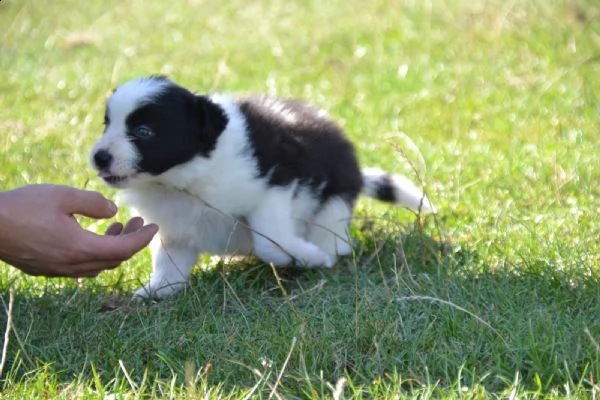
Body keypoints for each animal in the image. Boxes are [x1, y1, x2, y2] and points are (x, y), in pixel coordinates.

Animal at [90, 76, 436, 298]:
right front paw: (159, 290)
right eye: (107, 124)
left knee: (332, 230)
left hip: (335, 195)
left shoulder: (275, 185)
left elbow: (271, 240)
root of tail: (357, 172)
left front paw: (307, 257)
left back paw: (325, 249)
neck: (181, 178)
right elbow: (168, 260)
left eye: (144, 132)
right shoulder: (174, 225)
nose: (98, 157)